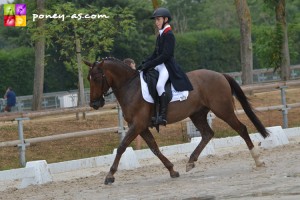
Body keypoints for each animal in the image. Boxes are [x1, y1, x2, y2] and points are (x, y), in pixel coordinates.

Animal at [83, 57, 268, 185]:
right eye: (88, 78)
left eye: (97, 78)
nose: (94, 104)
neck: (131, 87)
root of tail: (220, 75)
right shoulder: (141, 127)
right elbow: (154, 148)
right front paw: (172, 170)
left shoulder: (137, 125)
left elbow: (122, 147)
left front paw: (109, 176)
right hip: (197, 114)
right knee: (208, 134)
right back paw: (191, 162)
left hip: (223, 110)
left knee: (241, 129)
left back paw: (258, 161)